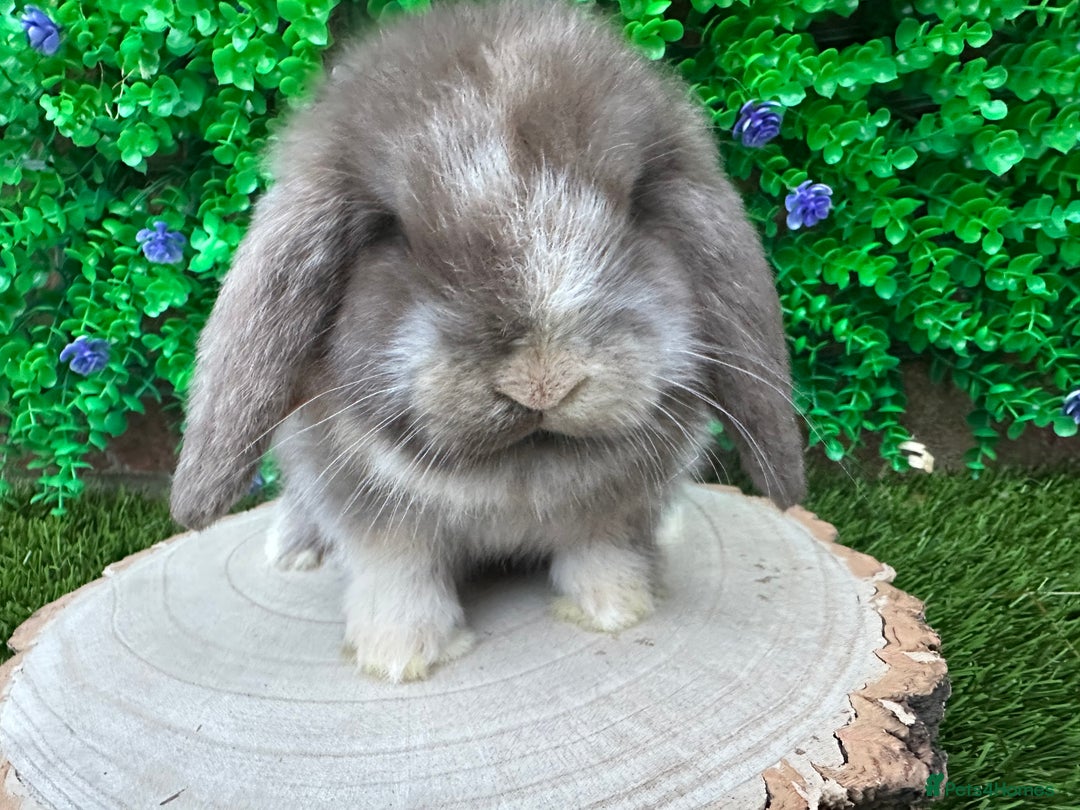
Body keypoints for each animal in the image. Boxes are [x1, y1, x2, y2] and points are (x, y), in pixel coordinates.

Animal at [169, 0, 806, 682]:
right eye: (389, 231)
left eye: (637, 206)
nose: (543, 382)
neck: (514, 480)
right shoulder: (372, 515)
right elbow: (399, 575)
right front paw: (399, 656)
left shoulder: (614, 511)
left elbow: (601, 549)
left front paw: (617, 609)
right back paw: (293, 551)